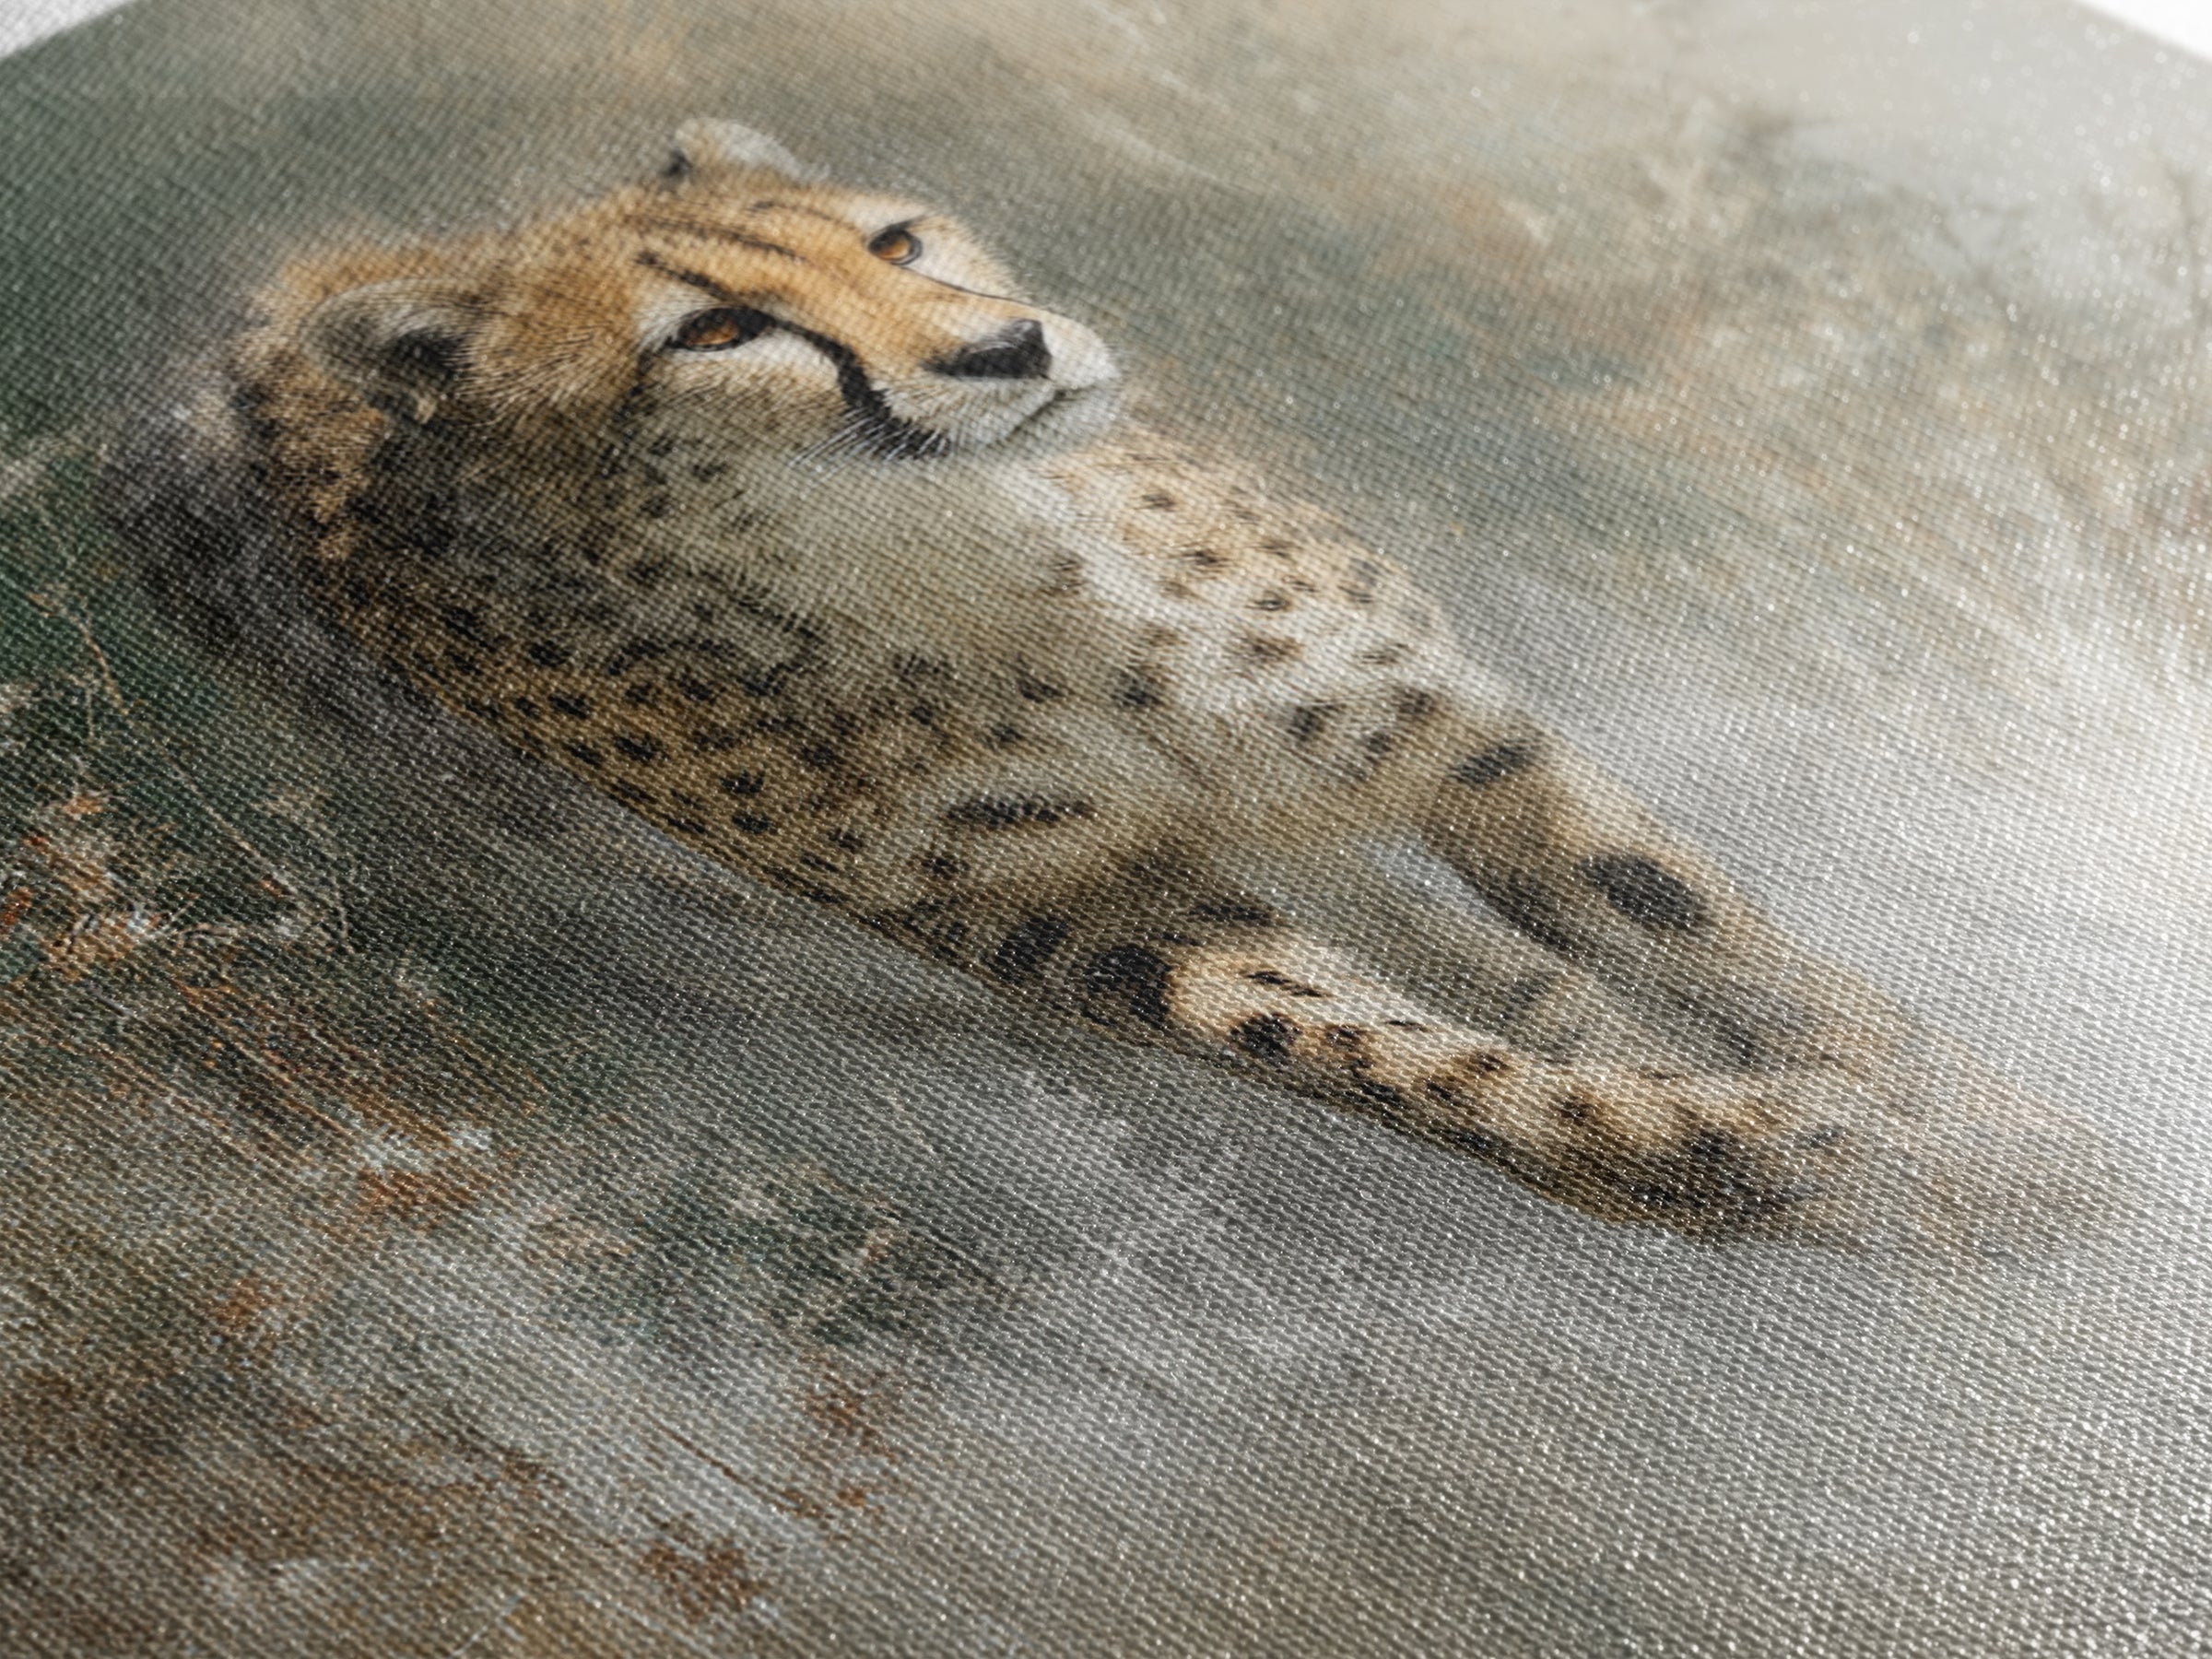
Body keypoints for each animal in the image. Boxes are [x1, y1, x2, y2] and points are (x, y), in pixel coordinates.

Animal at [181, 118, 2099, 1248]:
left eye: (896, 242)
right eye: (717, 334)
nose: (1006, 348)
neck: (969, 556)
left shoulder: (1452, 741)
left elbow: (1705, 933)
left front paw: (1972, 1128)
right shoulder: (1084, 911)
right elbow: (1380, 1051)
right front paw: (1727, 1147)